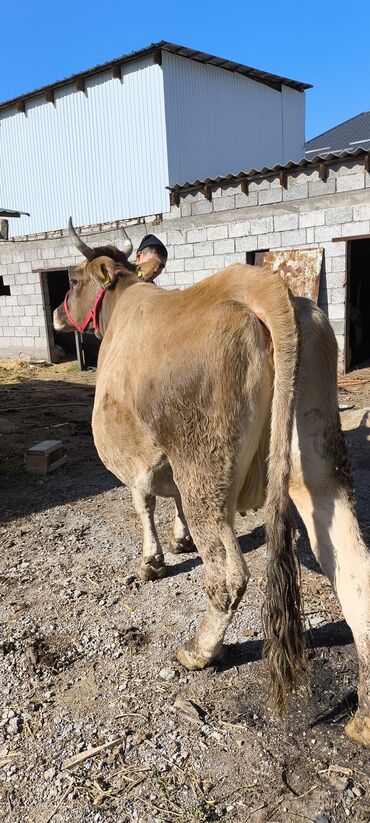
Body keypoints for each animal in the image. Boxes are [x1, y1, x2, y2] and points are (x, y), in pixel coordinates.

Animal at [52, 219, 370, 748]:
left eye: (73, 281)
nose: (57, 314)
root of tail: (263, 286)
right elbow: (171, 501)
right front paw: (178, 540)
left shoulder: (135, 457)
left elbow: (143, 503)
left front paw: (152, 561)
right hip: (316, 460)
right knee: (353, 567)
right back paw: (363, 718)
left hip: (205, 466)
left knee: (228, 574)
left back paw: (200, 651)